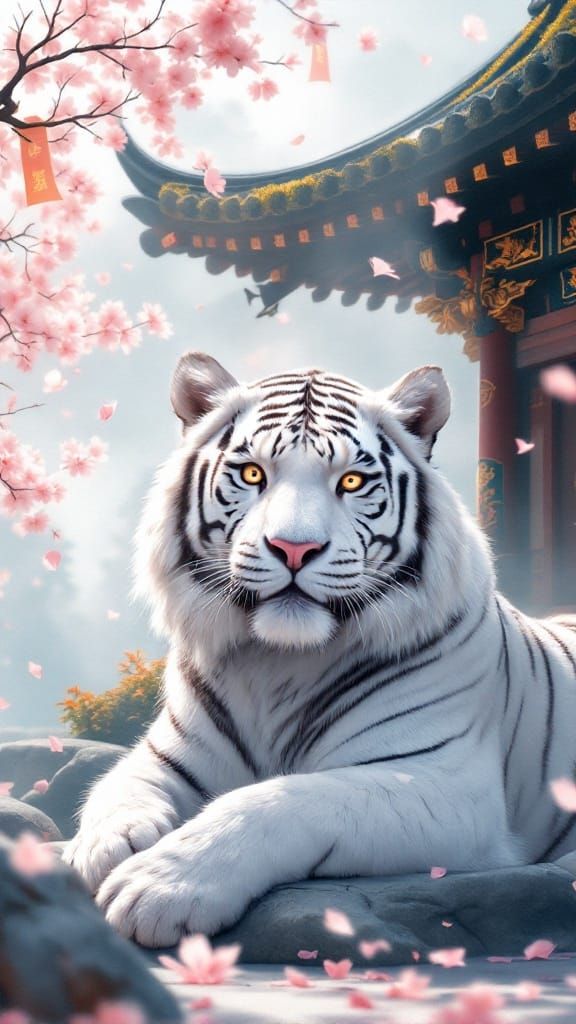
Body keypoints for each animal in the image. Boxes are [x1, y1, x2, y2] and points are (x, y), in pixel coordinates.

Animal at [65, 351, 576, 949]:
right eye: (253, 474)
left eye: (351, 481)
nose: (294, 548)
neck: (277, 664)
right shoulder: (167, 755)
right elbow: (114, 786)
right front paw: (106, 847)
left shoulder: (444, 785)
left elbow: (283, 800)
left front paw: (159, 886)